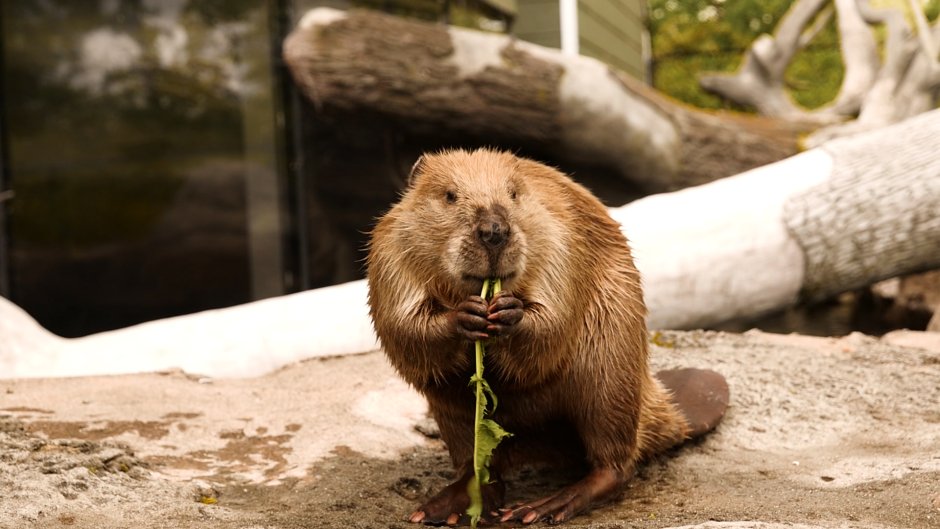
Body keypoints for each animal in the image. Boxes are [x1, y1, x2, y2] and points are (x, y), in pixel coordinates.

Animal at [368, 148, 728, 524]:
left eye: (513, 194)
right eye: (450, 195)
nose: (494, 231)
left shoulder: (558, 239)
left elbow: (553, 323)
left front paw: (509, 311)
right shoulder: (390, 250)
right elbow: (402, 325)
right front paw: (465, 315)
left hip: (612, 363)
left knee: (615, 463)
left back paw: (541, 507)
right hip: (452, 415)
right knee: (477, 463)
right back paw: (447, 506)